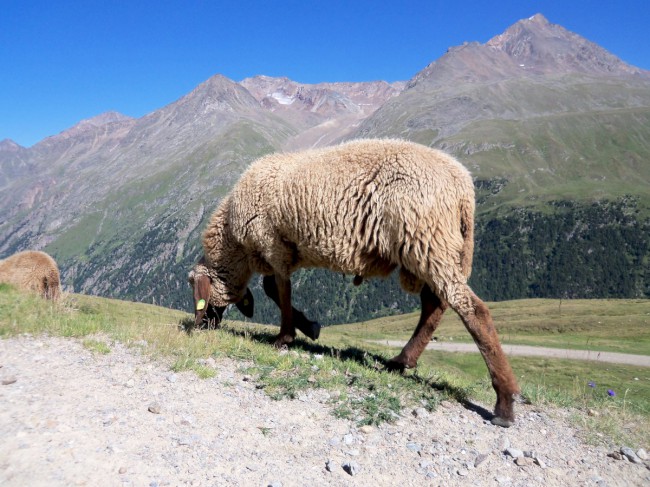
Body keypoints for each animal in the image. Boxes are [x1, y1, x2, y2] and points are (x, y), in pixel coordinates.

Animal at [187, 138, 516, 428]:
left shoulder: (273, 244)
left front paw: (285, 337)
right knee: (434, 304)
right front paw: (308, 326)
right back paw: (402, 361)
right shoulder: (281, 250)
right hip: (427, 247)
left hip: (426, 238)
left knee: (472, 309)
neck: (236, 245)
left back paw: (504, 403)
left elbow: (280, 291)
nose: (203, 326)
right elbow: (274, 291)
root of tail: (462, 185)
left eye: (194, 287)